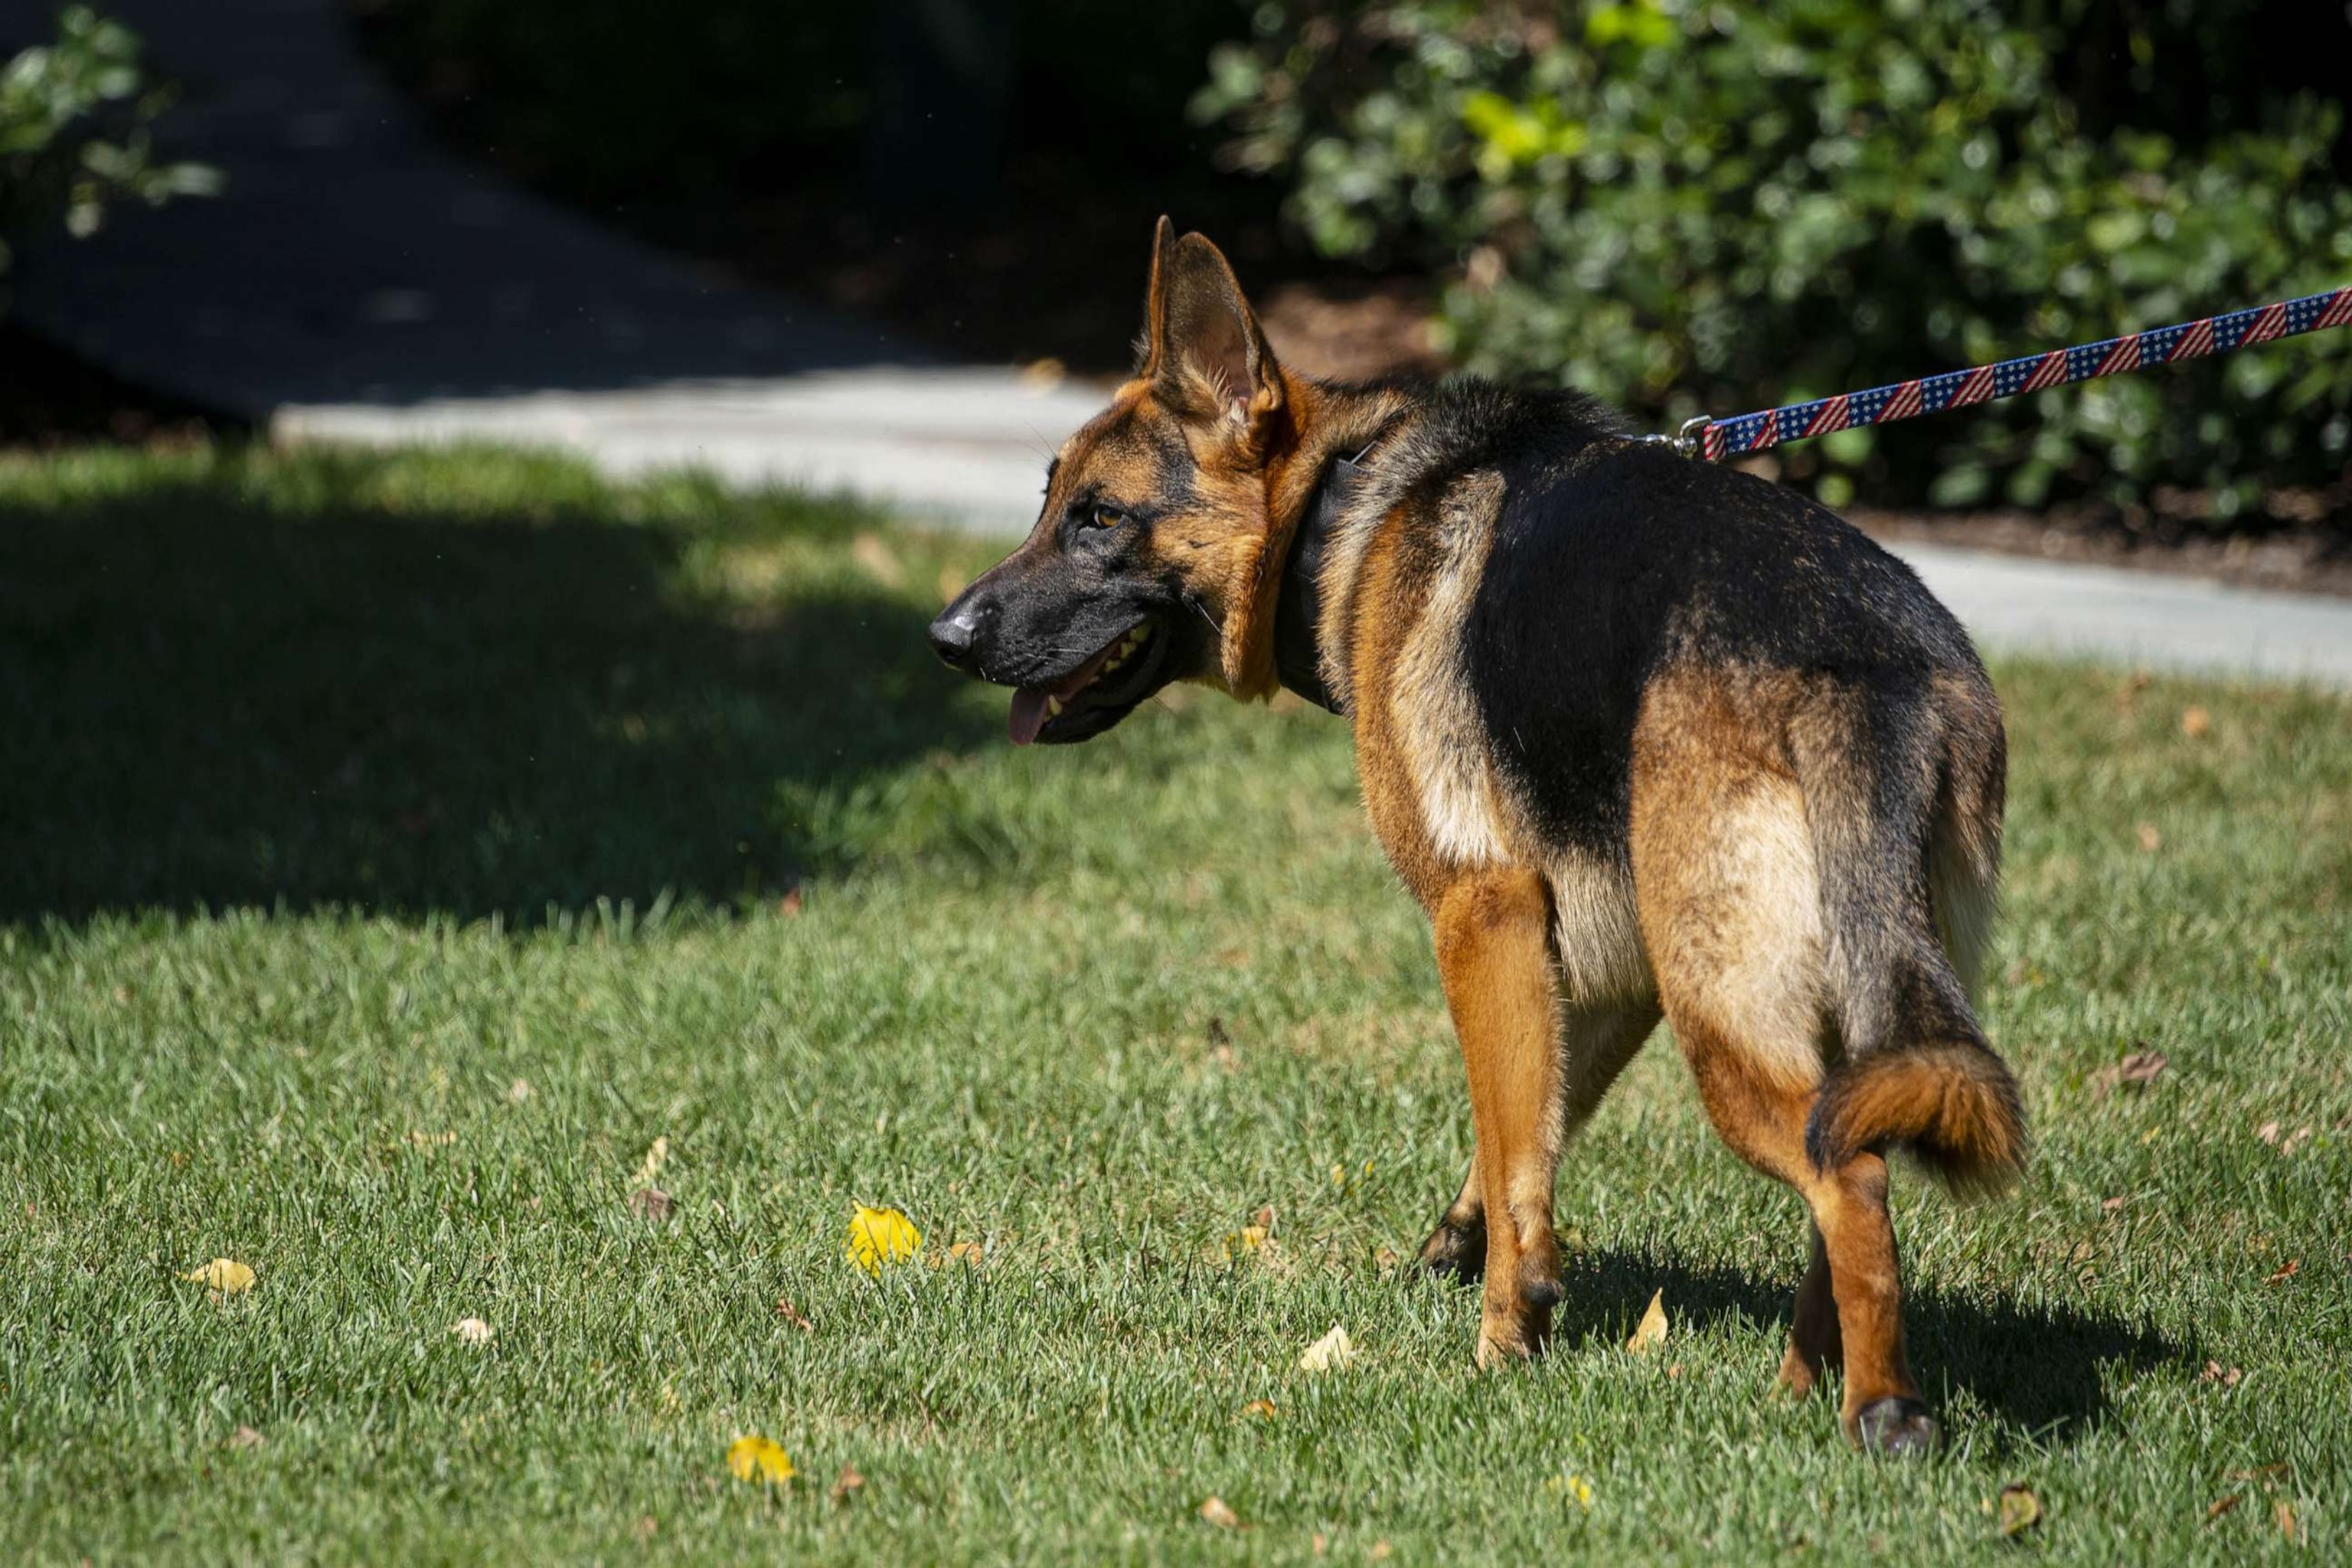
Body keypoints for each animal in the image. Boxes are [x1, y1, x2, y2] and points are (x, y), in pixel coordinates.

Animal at [926, 223, 2032, 1457]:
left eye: (1100, 520)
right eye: (1049, 505)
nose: (943, 637)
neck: (1338, 510)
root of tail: (1872, 671)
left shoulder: (1481, 913)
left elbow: (1512, 1164)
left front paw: (1504, 1339)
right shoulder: (1600, 962)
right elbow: (1530, 1137)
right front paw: (1464, 1259)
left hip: (1722, 1014)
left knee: (1851, 1182)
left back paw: (1881, 1408)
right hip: (1826, 999)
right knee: (1848, 1153)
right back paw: (1801, 1387)